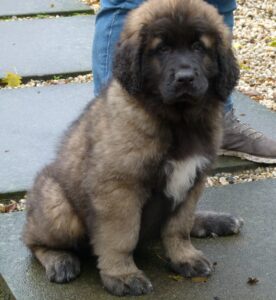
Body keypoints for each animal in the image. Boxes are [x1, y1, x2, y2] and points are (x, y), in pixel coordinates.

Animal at [24, 0, 244, 296]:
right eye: (162, 49)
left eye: (199, 47)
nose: (185, 78)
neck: (177, 119)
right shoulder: (119, 188)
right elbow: (121, 237)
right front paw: (123, 275)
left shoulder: (193, 180)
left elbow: (178, 227)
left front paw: (184, 257)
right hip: (58, 207)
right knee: (32, 239)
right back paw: (60, 259)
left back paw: (216, 221)